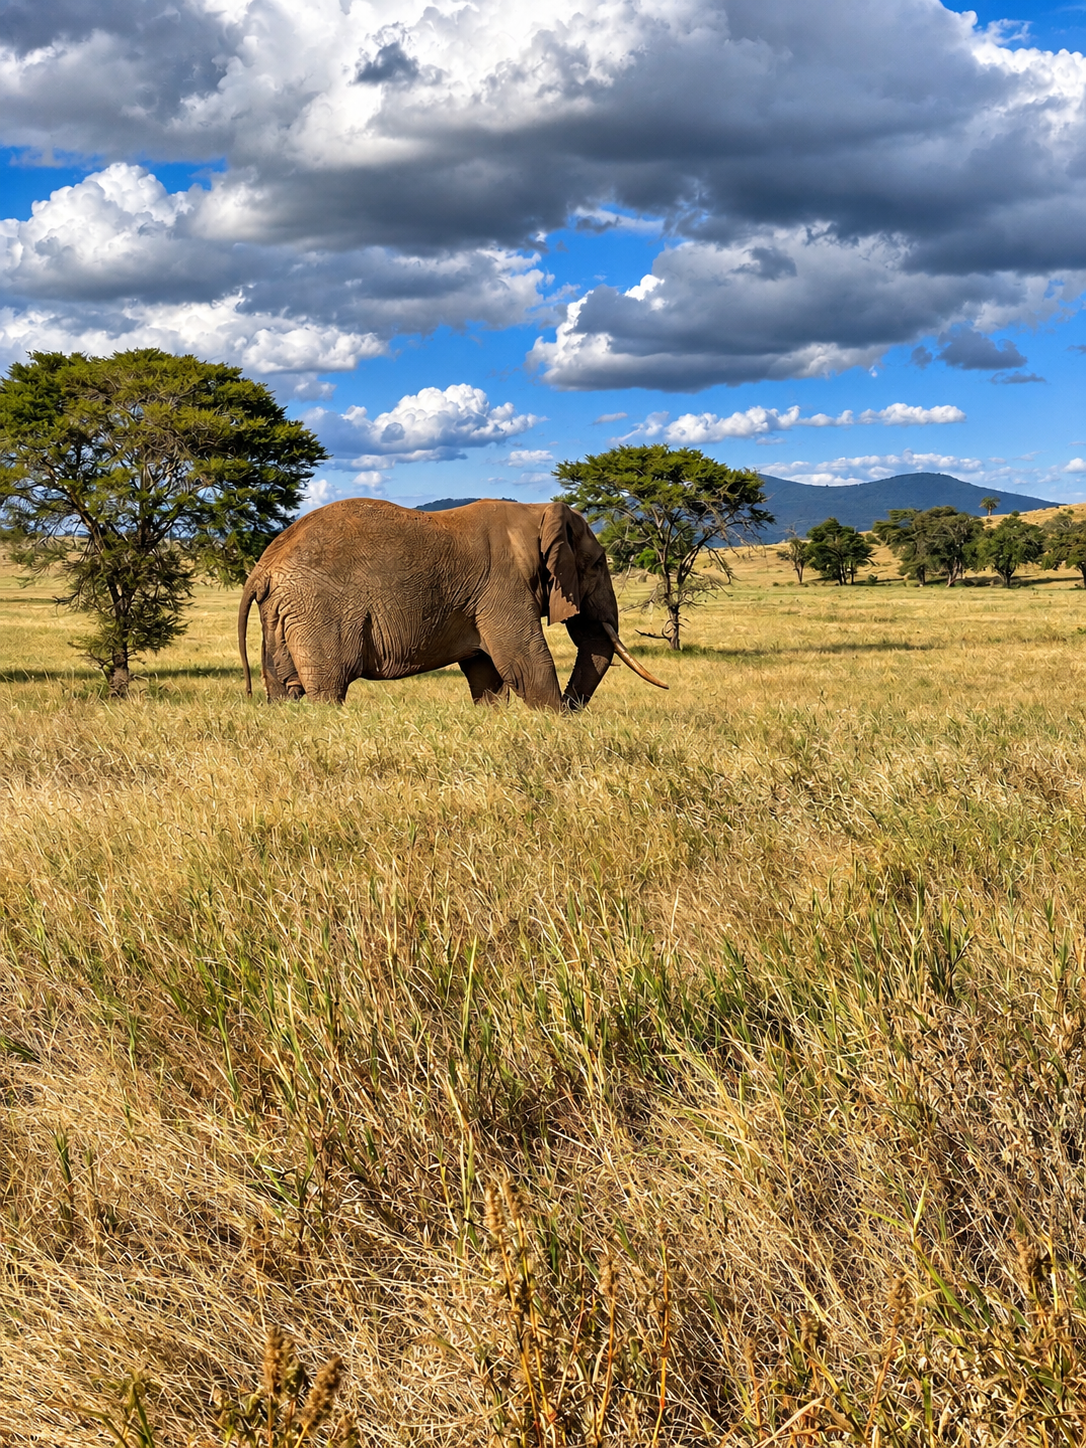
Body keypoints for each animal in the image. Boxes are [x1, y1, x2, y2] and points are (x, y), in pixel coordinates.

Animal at [237, 497, 668, 711]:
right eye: (596, 565)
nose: (572, 709)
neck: (535, 513)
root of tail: (265, 566)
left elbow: (486, 671)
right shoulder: (502, 585)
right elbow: (524, 660)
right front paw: (553, 721)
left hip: (281, 611)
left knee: (283, 687)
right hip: (319, 610)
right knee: (329, 687)